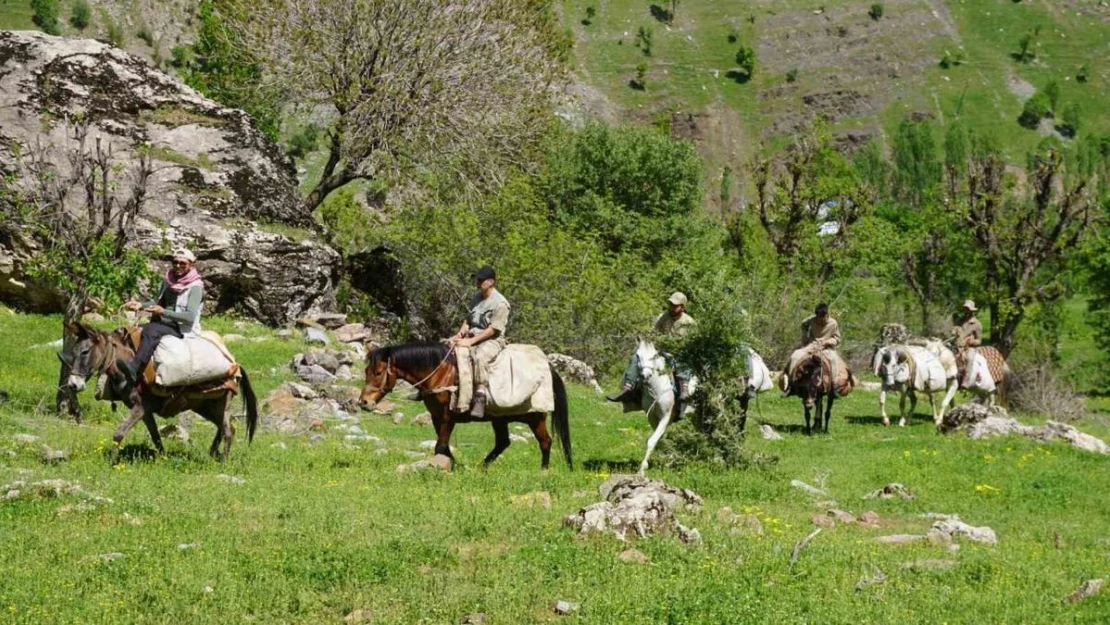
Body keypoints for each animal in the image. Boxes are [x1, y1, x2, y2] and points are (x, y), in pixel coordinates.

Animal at [62, 326, 257, 461]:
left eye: (85, 351)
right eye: (73, 351)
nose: (73, 384)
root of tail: (235, 365)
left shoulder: (140, 407)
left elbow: (119, 433)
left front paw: (113, 461)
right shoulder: (145, 410)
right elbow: (155, 435)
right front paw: (162, 457)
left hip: (221, 403)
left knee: (228, 430)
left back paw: (223, 461)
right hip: (205, 406)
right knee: (225, 427)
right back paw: (213, 453)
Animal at [359, 341, 572, 470]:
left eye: (378, 372)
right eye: (366, 371)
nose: (364, 402)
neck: (441, 373)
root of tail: (548, 368)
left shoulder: (448, 417)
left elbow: (440, 445)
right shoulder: (436, 417)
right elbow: (443, 446)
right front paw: (453, 465)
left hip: (535, 417)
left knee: (545, 442)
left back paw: (543, 470)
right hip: (499, 419)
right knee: (503, 442)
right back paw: (482, 468)